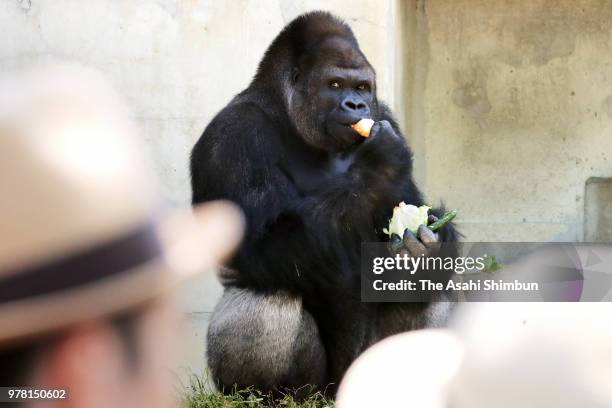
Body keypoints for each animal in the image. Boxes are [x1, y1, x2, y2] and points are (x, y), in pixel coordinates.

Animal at [189, 11, 456, 394]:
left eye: (361, 88)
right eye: (335, 84)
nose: (356, 105)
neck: (286, 111)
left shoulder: (385, 115)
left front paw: (429, 246)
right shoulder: (233, 137)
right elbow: (268, 243)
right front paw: (381, 165)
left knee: (429, 288)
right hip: (312, 389)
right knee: (269, 298)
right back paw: (270, 394)